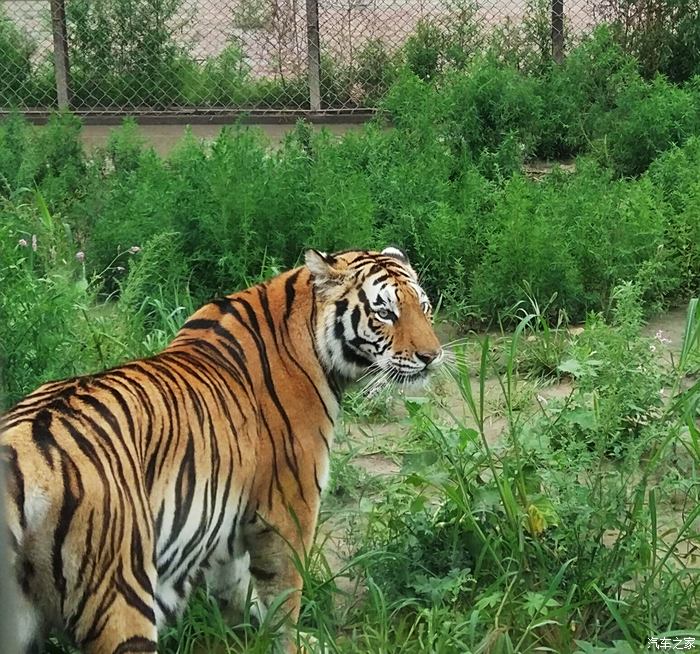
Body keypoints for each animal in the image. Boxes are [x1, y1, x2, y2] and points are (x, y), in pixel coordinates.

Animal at [1, 247, 442, 654]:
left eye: (423, 306)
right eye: (385, 313)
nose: (432, 357)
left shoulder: (227, 514)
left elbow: (237, 587)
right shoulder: (288, 510)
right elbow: (284, 594)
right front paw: (288, 642)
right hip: (120, 596)